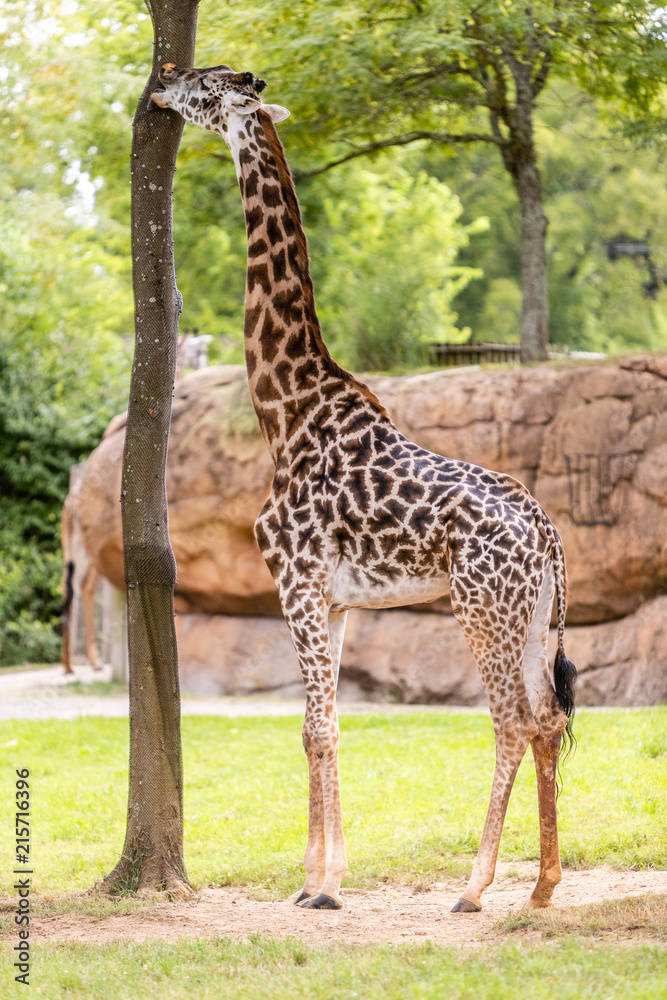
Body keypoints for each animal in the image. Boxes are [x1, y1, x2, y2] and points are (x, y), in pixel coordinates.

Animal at [150, 64, 577, 913]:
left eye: (207, 87)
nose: (160, 85)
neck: (284, 408)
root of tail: (544, 532)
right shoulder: (337, 599)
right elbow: (324, 727)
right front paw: (317, 876)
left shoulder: (296, 584)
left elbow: (315, 728)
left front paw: (320, 885)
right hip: (533, 614)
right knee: (547, 719)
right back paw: (542, 887)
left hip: (481, 607)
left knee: (511, 721)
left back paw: (475, 886)